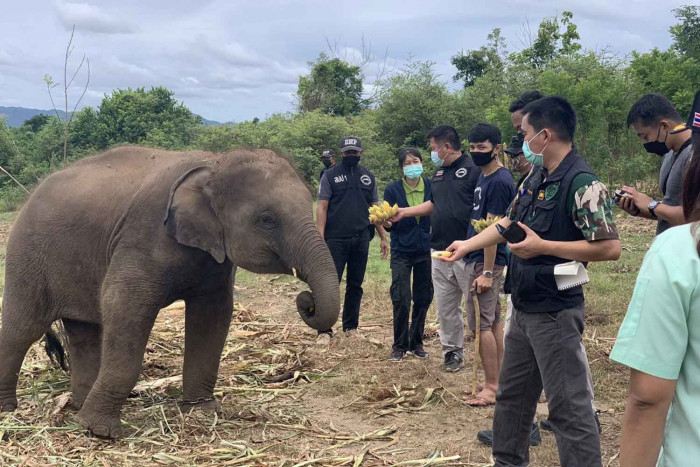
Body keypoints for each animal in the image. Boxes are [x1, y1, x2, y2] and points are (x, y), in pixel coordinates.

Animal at [0, 146, 340, 438]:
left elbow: (213, 315)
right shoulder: (143, 234)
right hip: (26, 253)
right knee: (22, 330)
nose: (306, 301)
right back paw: (10, 410)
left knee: (84, 332)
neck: (215, 163)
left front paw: (202, 412)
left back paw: (79, 406)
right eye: (266, 219)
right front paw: (100, 432)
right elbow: (122, 305)